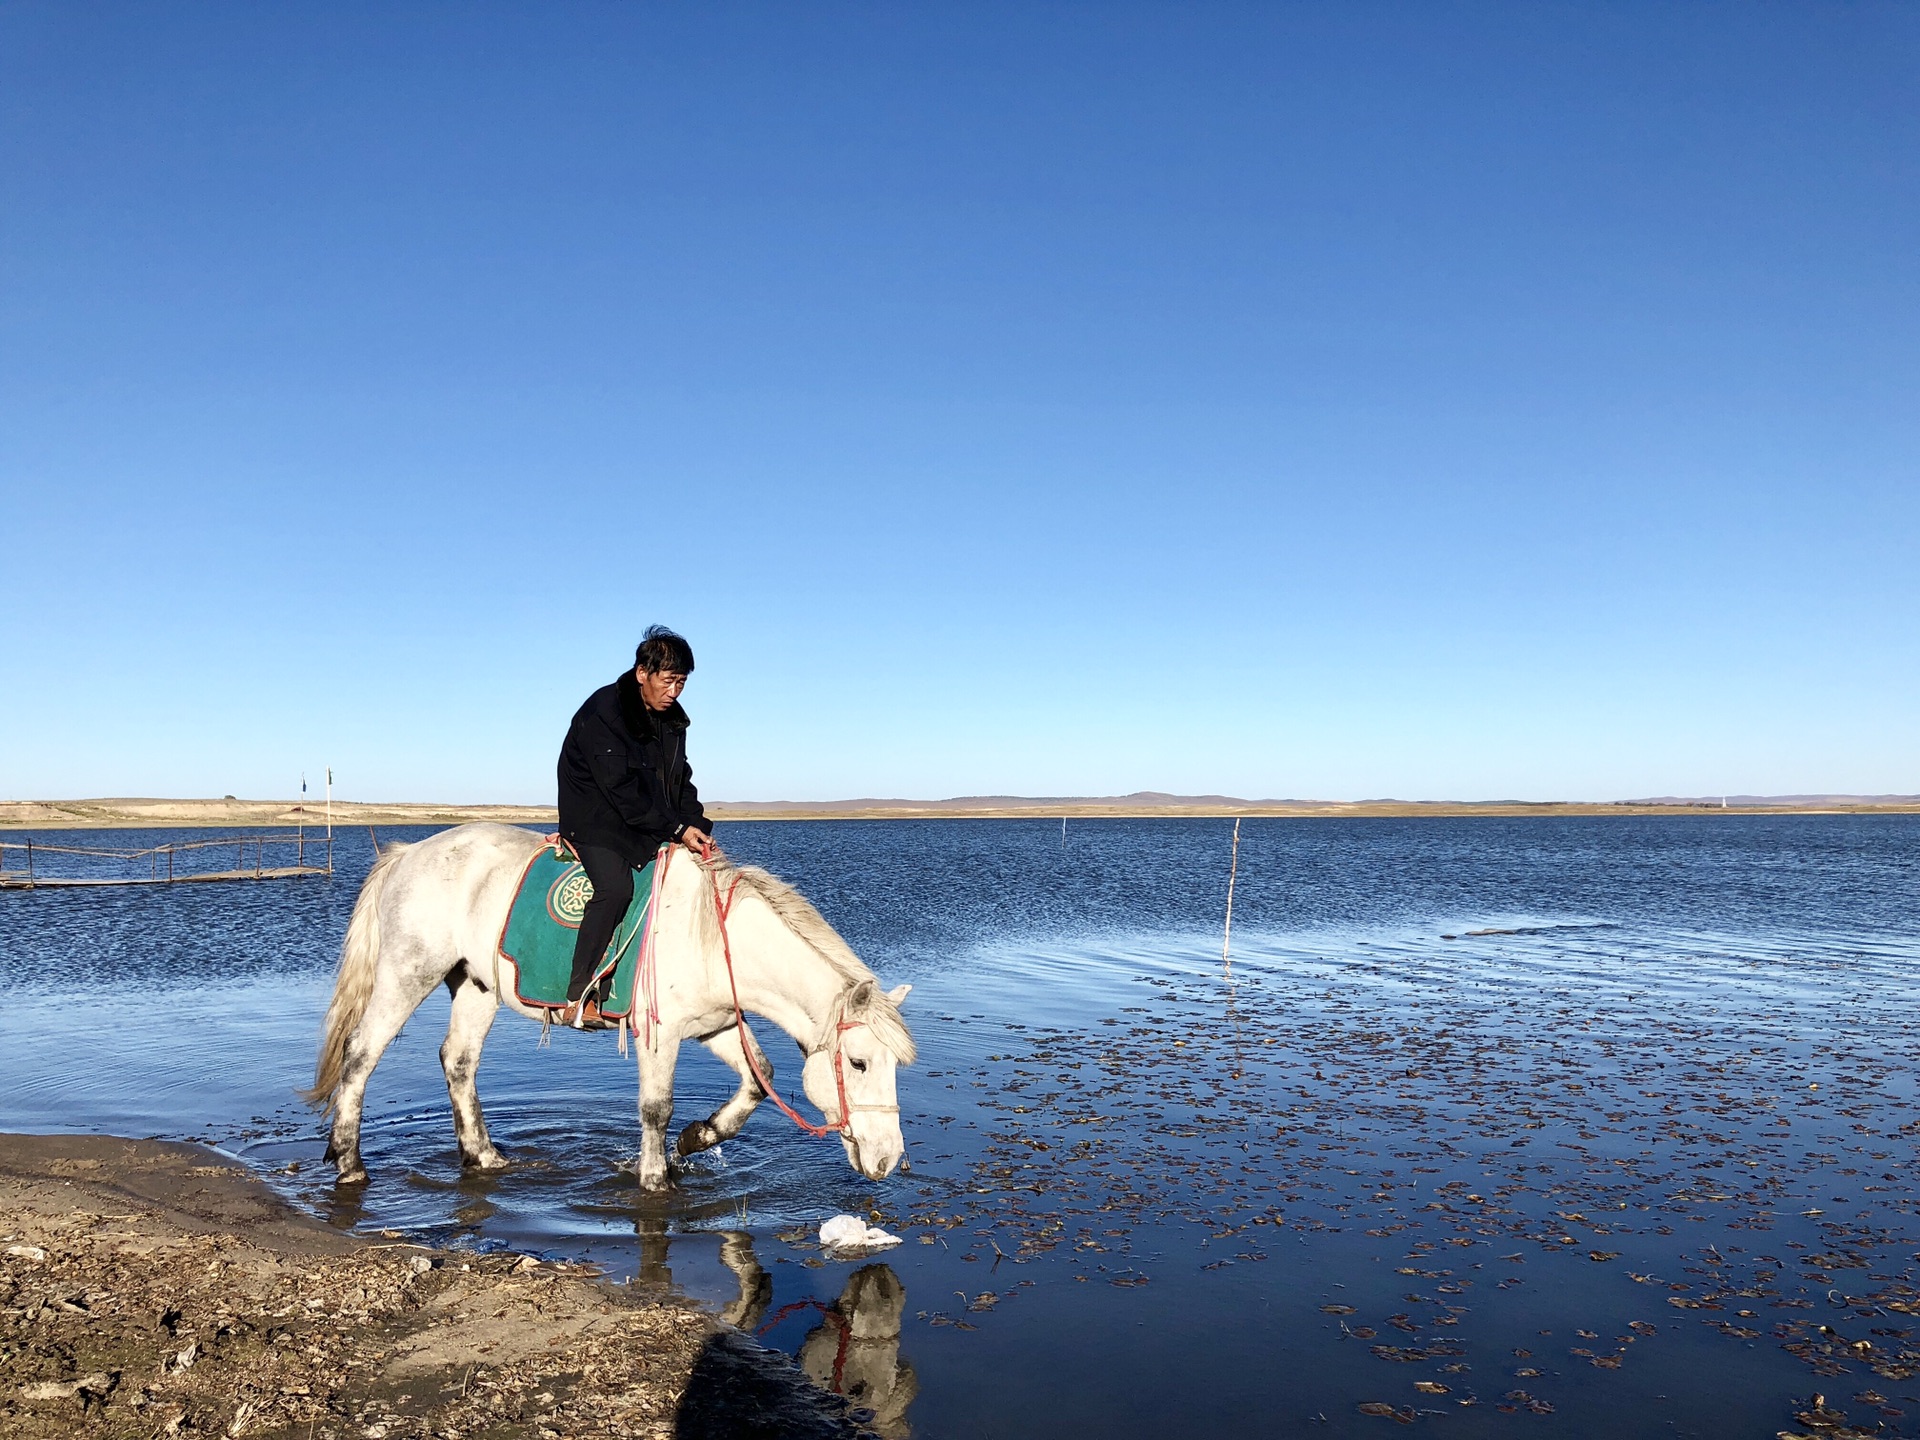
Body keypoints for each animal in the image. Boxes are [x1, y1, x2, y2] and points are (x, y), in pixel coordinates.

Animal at [305, 829, 913, 1190]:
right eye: (858, 1062)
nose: (888, 1161)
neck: (717, 940)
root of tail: (408, 853)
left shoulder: (712, 1027)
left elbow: (757, 1079)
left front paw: (696, 1140)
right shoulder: (658, 1035)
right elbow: (655, 1108)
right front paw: (656, 1177)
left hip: (475, 986)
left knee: (458, 1062)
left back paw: (484, 1157)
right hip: (408, 975)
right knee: (361, 1054)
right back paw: (350, 1163)